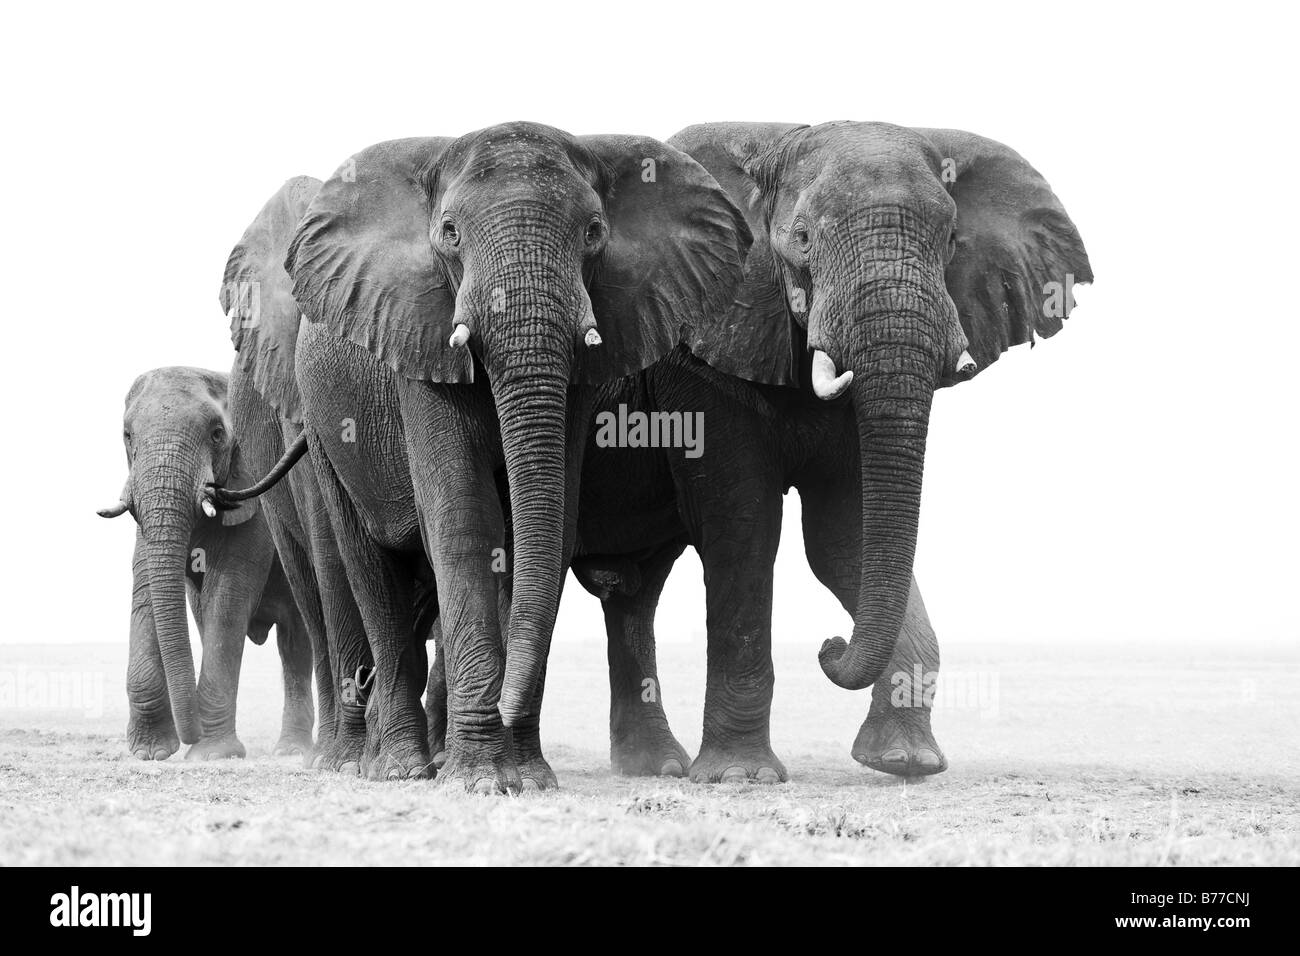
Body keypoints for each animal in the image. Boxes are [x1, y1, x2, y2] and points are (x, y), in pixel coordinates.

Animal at [97, 366, 315, 764]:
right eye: (127, 435)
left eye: (217, 434)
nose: (190, 734)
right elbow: (147, 586)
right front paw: (151, 752)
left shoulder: (254, 497)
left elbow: (227, 596)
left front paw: (211, 754)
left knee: (296, 641)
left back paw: (290, 751)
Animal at [228, 121, 748, 790]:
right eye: (449, 232)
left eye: (594, 232)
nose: (503, 705)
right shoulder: (415, 337)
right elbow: (464, 516)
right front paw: (481, 778)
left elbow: (544, 525)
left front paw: (526, 776)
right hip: (321, 424)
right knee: (366, 569)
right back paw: (393, 768)